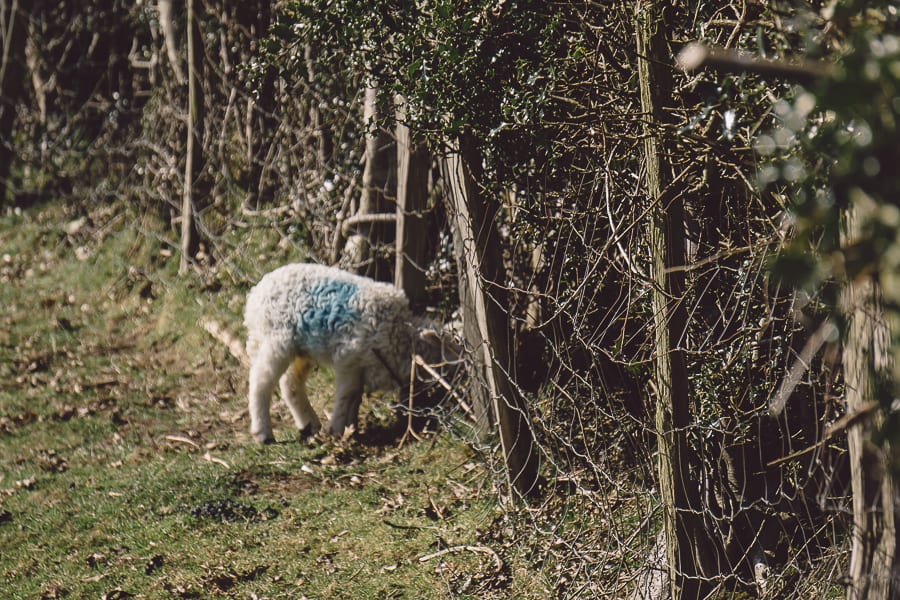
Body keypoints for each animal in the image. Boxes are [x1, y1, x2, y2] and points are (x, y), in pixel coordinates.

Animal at [241, 262, 458, 440]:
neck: (400, 335)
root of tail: (255, 295)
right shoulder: (349, 359)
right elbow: (348, 393)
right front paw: (338, 429)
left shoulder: (363, 365)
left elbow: (357, 395)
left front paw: (351, 426)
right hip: (274, 340)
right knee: (260, 382)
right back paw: (263, 434)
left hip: (301, 350)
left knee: (290, 384)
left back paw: (310, 426)